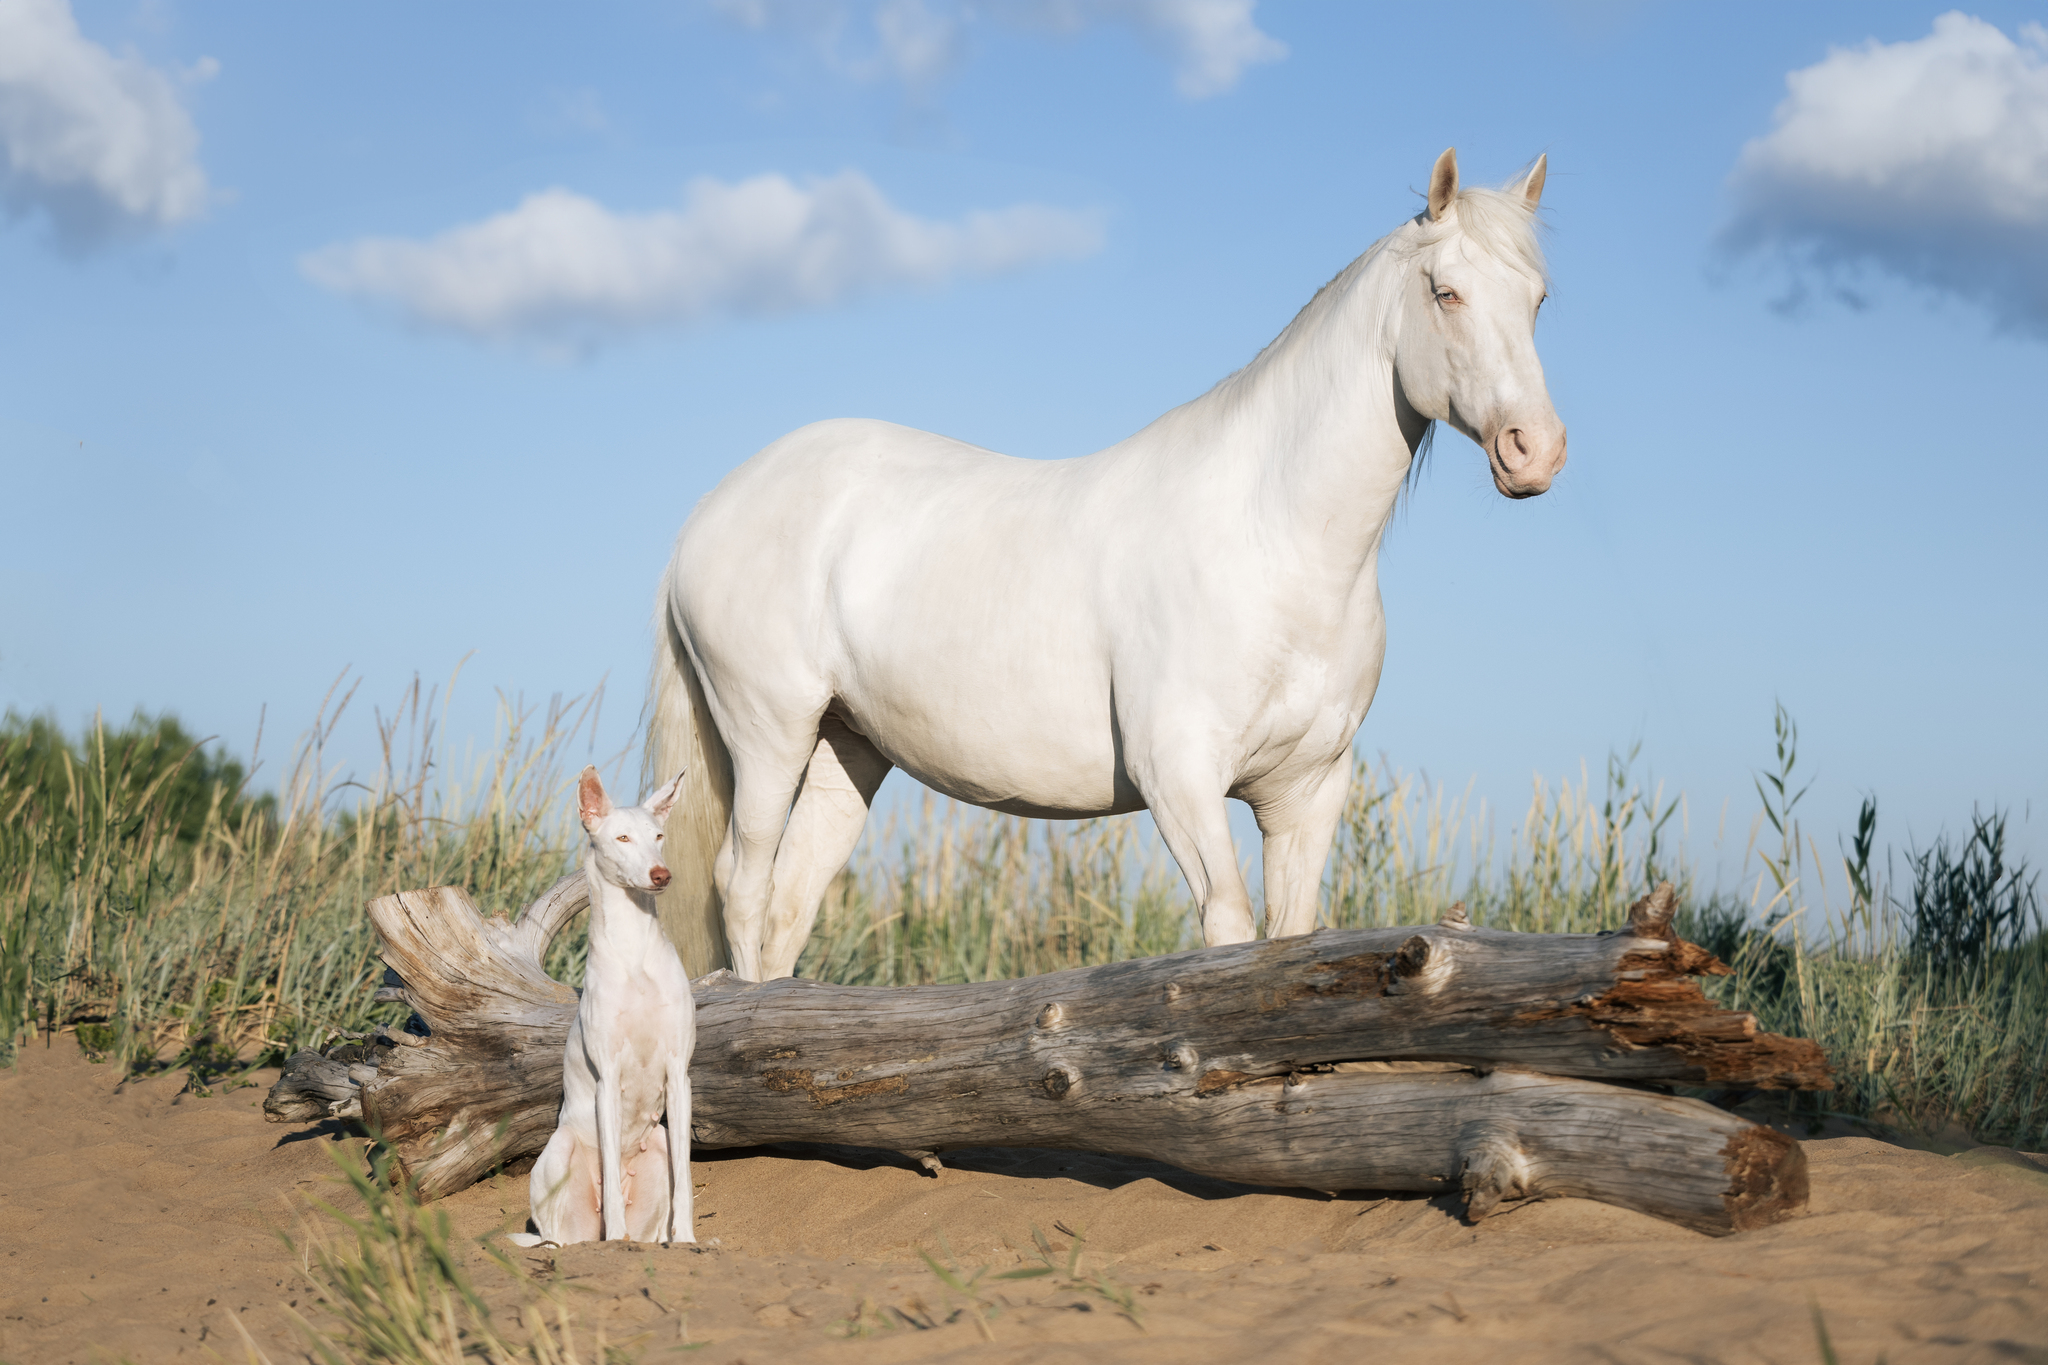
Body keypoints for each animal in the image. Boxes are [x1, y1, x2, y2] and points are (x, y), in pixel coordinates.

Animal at [512, 769, 696, 1252]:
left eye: (658, 836)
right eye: (622, 837)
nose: (661, 874)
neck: (635, 956)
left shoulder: (679, 1073)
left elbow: (686, 1180)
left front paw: (689, 1239)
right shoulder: (607, 1079)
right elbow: (611, 1175)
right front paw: (616, 1236)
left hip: (660, 1141)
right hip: (559, 1151)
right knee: (553, 1237)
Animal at [655, 149, 1564, 982]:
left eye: (1537, 300)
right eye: (1445, 291)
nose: (1536, 450)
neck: (1275, 542)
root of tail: (708, 510)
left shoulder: (1306, 790)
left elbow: (1287, 936)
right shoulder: (1181, 778)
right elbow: (1228, 926)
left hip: (846, 748)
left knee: (788, 904)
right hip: (769, 733)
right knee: (743, 884)